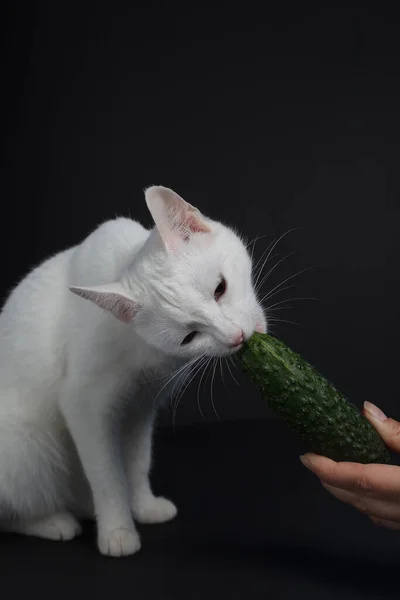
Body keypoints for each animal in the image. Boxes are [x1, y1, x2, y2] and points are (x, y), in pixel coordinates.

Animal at [0, 185, 266, 556]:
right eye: (189, 337)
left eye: (220, 289)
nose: (236, 337)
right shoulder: (85, 403)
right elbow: (107, 473)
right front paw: (117, 530)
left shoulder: (140, 405)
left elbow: (136, 461)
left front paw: (143, 505)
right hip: (26, 447)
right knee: (14, 509)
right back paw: (53, 521)